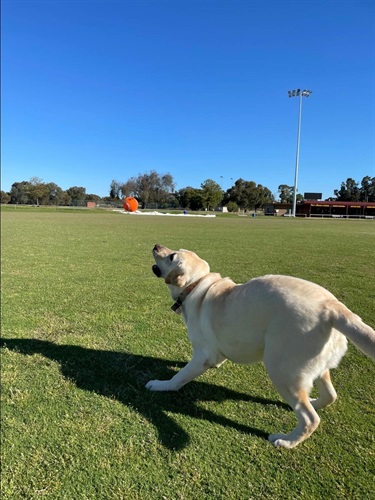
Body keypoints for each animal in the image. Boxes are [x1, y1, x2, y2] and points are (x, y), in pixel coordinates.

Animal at [148, 244, 375, 448]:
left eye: (172, 256)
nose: (156, 245)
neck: (197, 286)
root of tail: (332, 308)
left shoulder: (203, 356)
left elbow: (180, 377)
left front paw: (161, 384)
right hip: (315, 367)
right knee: (330, 396)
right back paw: (314, 402)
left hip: (282, 371)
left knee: (310, 419)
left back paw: (286, 441)